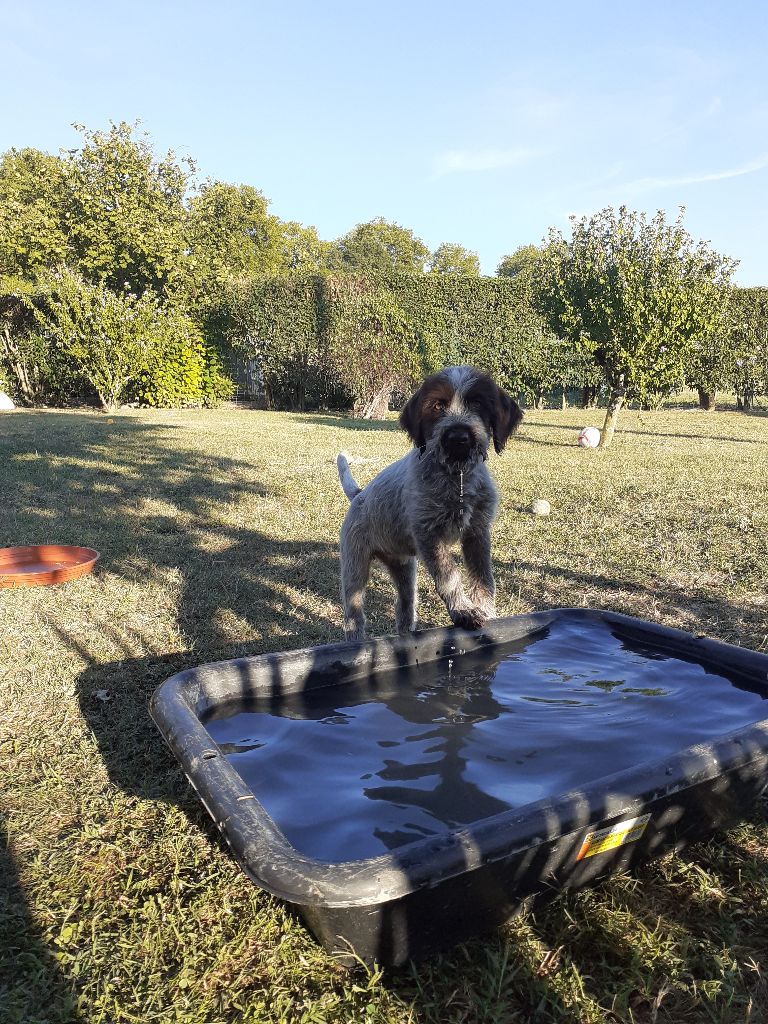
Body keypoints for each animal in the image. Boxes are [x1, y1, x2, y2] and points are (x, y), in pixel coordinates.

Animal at [335, 368, 524, 638]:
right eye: (437, 406)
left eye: (477, 403)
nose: (458, 438)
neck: (457, 477)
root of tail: (359, 495)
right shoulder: (429, 534)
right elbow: (449, 577)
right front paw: (463, 611)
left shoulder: (477, 533)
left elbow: (484, 578)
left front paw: (487, 611)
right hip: (355, 567)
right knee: (354, 615)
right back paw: (356, 642)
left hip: (404, 570)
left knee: (404, 608)